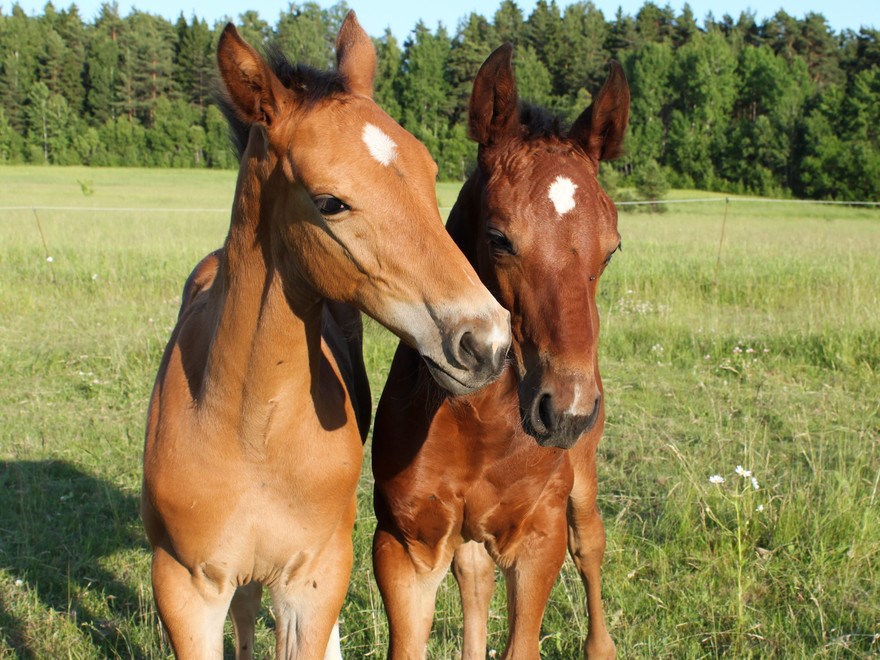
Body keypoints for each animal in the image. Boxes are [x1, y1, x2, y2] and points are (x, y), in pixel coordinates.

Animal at [142, 12, 512, 656]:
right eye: (330, 202)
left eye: (428, 172)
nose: (485, 342)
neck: (248, 426)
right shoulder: (185, 589)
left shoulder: (312, 579)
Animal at [368, 43, 628, 656]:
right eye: (498, 237)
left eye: (612, 248)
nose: (565, 410)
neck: (481, 423)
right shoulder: (404, 547)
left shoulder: (538, 539)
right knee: (474, 574)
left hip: (582, 478)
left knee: (592, 544)